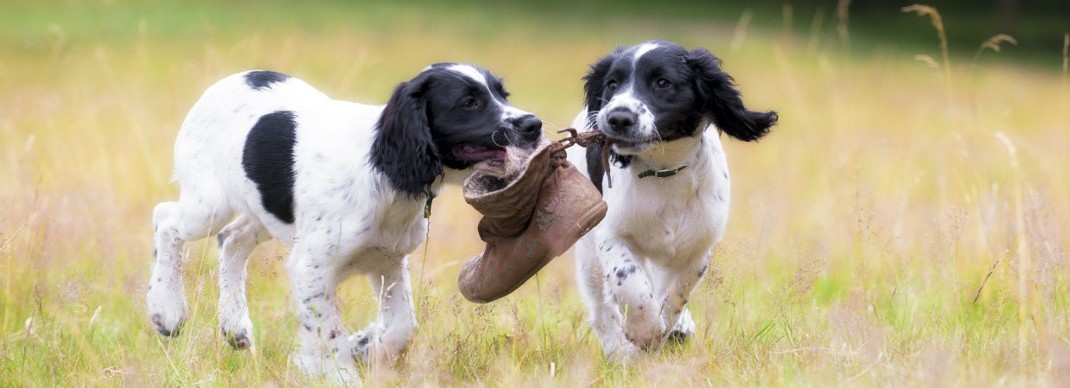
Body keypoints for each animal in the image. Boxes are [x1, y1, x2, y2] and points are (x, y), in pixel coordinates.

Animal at [148, 62, 543, 380]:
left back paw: (234, 326)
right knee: (165, 220)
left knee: (232, 239)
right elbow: (329, 333)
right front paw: (339, 373)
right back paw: (166, 311)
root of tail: (228, 80)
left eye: (501, 93)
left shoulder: (387, 261)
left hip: (264, 208)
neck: (383, 170)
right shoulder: (312, 267)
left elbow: (402, 326)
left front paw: (363, 347)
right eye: (469, 102)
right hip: (209, 204)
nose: (533, 125)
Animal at [569, 41, 778, 359]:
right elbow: (630, 283)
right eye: (612, 84)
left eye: (663, 83)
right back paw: (620, 354)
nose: (618, 117)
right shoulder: (612, 234)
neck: (663, 172)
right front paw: (644, 331)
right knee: (601, 309)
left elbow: (676, 292)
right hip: (588, 254)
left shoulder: (696, 248)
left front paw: (669, 326)